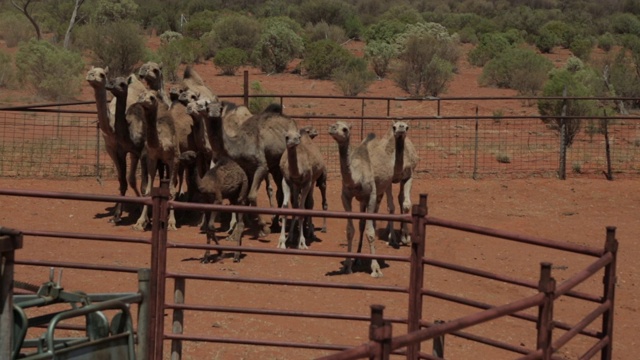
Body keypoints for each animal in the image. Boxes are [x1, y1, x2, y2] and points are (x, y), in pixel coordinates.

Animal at [131, 89, 179, 231]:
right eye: (141, 95)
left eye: (151, 97)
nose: (141, 101)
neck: (160, 143)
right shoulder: (152, 158)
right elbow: (148, 190)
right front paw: (140, 222)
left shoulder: (174, 160)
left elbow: (172, 191)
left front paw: (172, 223)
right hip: (160, 164)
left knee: (173, 185)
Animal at [328, 121, 382, 278]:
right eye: (334, 124)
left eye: (345, 129)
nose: (332, 128)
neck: (357, 178)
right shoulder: (345, 196)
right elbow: (350, 230)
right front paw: (347, 265)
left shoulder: (372, 195)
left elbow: (371, 233)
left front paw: (376, 269)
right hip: (362, 201)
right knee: (361, 224)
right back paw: (357, 259)